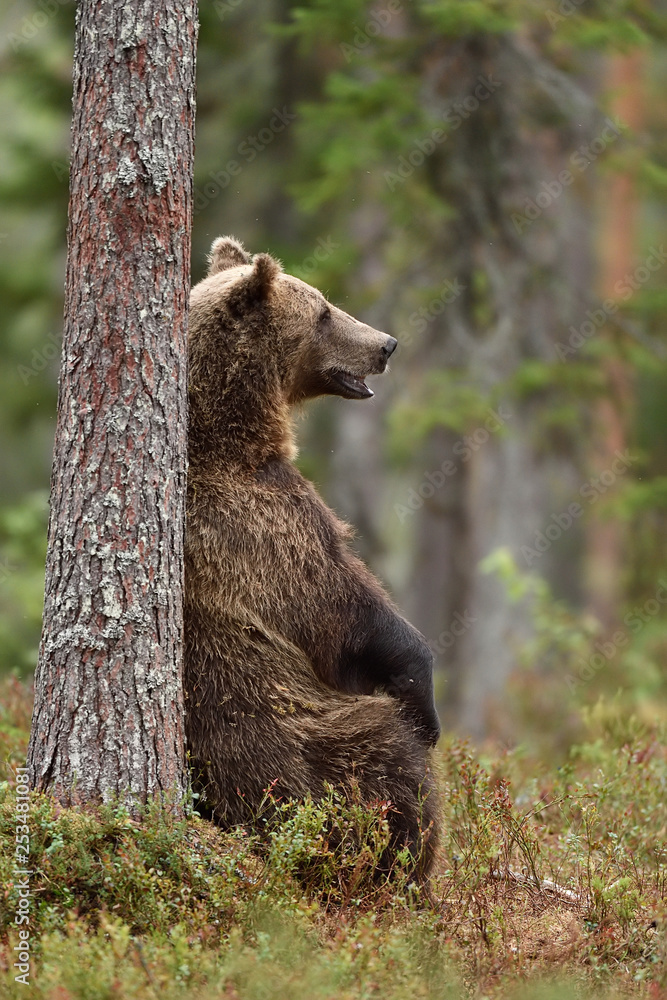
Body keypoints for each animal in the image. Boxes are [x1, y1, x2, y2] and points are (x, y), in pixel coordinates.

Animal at [184, 236, 440, 877]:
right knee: (391, 765)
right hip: (301, 752)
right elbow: (352, 610)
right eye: (323, 311)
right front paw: (427, 703)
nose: (386, 344)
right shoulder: (271, 526)